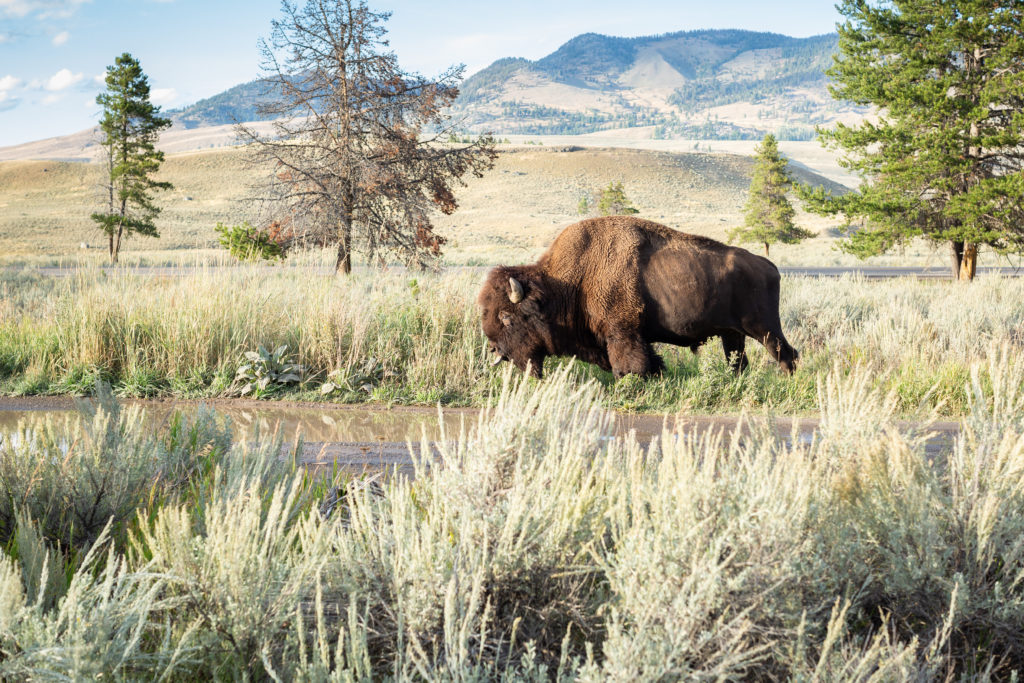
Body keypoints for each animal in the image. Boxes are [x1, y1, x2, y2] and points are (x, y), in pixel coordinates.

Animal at [477, 216, 798, 378]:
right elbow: (648, 361)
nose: (493, 349)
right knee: (738, 361)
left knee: (785, 353)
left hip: (764, 328)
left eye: (507, 317)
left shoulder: (622, 333)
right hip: (732, 334)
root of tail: (768, 266)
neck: (571, 281)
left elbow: (628, 365)